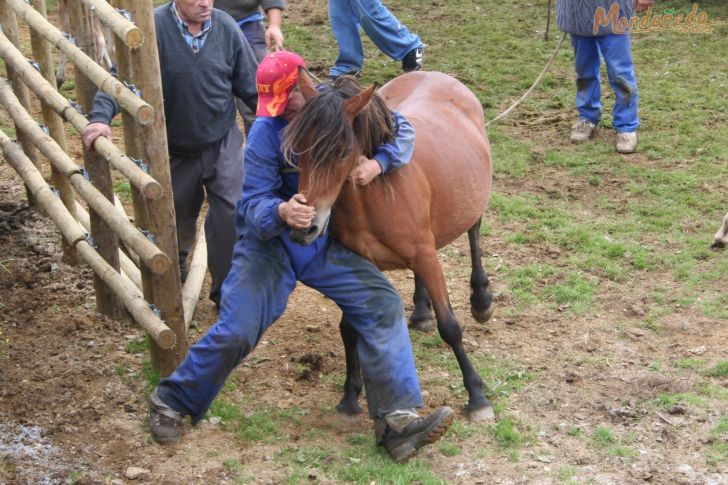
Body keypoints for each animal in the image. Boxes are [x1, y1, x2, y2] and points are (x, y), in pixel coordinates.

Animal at [284, 70, 494, 422]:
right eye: (299, 148)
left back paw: (481, 300)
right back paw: (421, 312)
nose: (304, 229)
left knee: (474, 234)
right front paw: (350, 396)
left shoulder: (425, 255)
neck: (376, 194)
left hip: (470, 204)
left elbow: (450, 326)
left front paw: (477, 396)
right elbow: (349, 329)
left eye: (343, 151)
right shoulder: (363, 263)